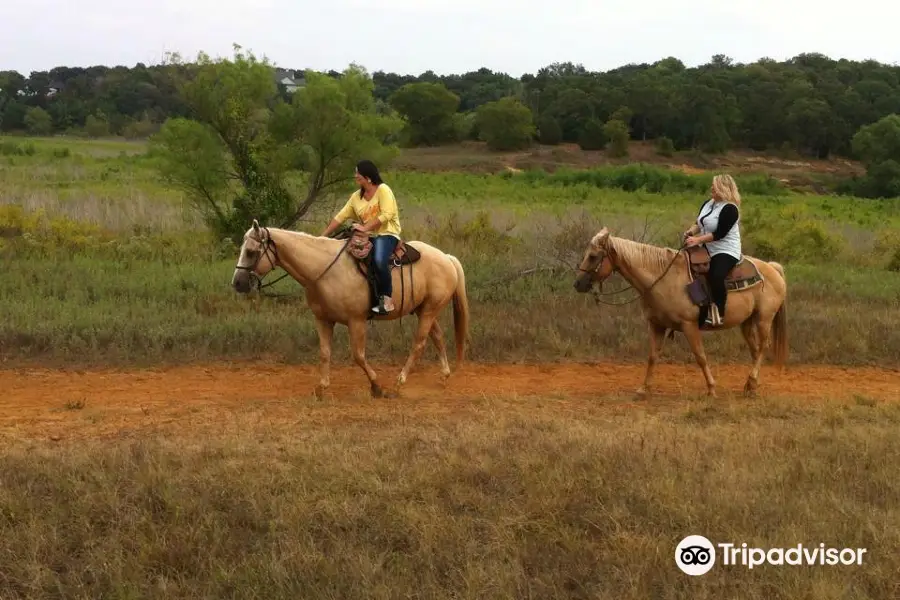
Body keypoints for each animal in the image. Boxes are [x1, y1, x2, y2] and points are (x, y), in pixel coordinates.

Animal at [230, 220, 472, 398]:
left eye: (251, 251)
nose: (237, 283)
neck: (323, 269)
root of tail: (447, 258)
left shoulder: (356, 321)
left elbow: (358, 356)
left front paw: (376, 387)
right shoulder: (323, 320)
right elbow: (325, 353)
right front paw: (321, 388)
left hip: (429, 310)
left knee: (419, 344)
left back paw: (399, 383)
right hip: (424, 310)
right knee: (438, 337)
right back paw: (444, 376)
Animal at [576, 227, 788, 400]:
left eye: (593, 256)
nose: (578, 284)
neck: (663, 278)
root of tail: (772, 268)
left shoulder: (689, 325)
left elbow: (700, 356)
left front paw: (711, 389)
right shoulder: (657, 325)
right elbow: (652, 356)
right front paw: (643, 389)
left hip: (764, 319)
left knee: (762, 347)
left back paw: (751, 382)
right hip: (747, 322)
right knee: (755, 350)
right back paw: (752, 385)